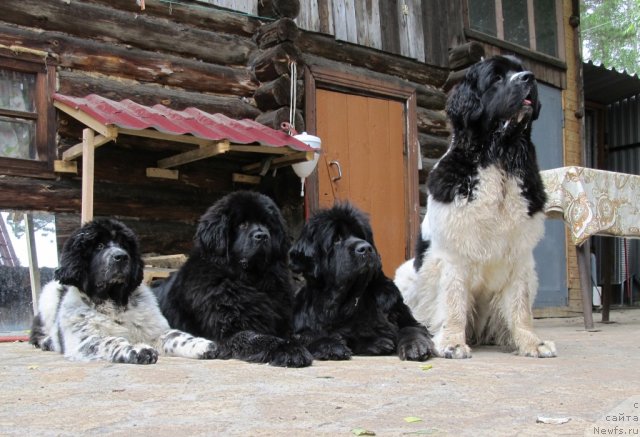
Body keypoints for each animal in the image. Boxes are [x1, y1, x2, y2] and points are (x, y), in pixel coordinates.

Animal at [29, 218, 218, 364]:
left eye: (123, 245)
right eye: (99, 245)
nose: (121, 257)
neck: (114, 301)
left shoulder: (155, 331)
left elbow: (177, 337)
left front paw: (203, 345)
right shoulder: (84, 340)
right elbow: (110, 340)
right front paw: (136, 350)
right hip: (50, 294)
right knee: (37, 332)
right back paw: (47, 342)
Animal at [156, 192, 314, 366]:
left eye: (267, 224)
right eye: (242, 224)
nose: (262, 236)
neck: (251, 280)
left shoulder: (282, 323)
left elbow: (304, 335)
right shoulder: (228, 333)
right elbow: (257, 337)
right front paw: (290, 349)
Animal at [292, 203, 436, 360]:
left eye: (361, 235)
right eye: (336, 239)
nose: (365, 248)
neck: (350, 301)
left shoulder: (402, 314)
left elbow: (410, 328)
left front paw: (415, 345)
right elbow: (308, 336)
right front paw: (332, 345)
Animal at [396, 55, 556, 358]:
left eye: (520, 70)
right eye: (496, 78)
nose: (529, 77)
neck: (500, 159)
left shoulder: (520, 255)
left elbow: (520, 306)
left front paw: (530, 342)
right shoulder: (453, 254)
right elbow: (454, 300)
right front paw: (452, 342)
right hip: (406, 276)